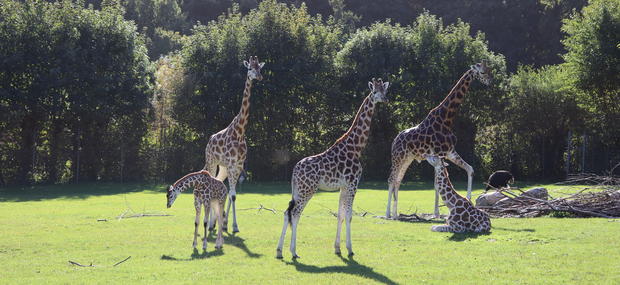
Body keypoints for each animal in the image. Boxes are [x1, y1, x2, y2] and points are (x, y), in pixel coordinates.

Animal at [202, 54, 262, 232]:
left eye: (260, 68)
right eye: (250, 68)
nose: (259, 77)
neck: (240, 132)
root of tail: (209, 141)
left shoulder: (238, 165)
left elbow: (232, 195)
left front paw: (229, 224)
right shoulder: (231, 164)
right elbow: (232, 193)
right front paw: (230, 225)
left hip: (222, 167)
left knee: (219, 182)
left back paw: (216, 222)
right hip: (212, 161)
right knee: (212, 183)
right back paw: (210, 224)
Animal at [274, 77, 388, 258]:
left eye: (385, 90)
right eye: (375, 91)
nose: (385, 99)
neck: (356, 147)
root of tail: (294, 171)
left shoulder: (343, 186)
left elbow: (340, 214)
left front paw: (337, 248)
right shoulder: (353, 184)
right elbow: (349, 215)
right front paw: (350, 249)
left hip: (298, 190)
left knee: (287, 213)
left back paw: (279, 251)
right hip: (308, 189)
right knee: (295, 213)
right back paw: (293, 252)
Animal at [386, 61, 492, 217]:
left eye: (488, 70)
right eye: (482, 72)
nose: (490, 81)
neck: (446, 119)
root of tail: (394, 141)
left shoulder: (450, 152)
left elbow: (470, 169)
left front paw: (468, 199)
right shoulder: (439, 153)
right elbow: (437, 183)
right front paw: (436, 212)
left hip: (408, 158)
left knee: (398, 181)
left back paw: (395, 213)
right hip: (398, 157)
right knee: (391, 179)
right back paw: (388, 214)